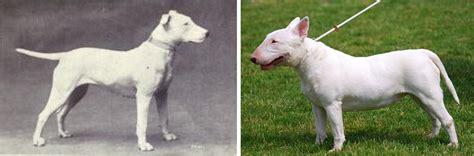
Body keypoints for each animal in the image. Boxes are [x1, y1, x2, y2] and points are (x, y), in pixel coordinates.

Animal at [15, 9, 208, 151]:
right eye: (186, 23)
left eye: (190, 20)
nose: (207, 33)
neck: (158, 51)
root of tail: (66, 55)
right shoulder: (144, 97)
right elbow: (142, 123)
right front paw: (143, 145)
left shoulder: (162, 94)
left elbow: (164, 117)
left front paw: (167, 136)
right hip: (61, 93)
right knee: (43, 114)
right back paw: (37, 140)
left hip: (76, 93)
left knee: (60, 113)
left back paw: (63, 133)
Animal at [252, 17, 460, 152]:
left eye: (274, 41)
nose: (252, 58)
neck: (310, 61)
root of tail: (423, 53)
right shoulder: (317, 106)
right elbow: (320, 129)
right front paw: (317, 146)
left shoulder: (332, 104)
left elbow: (337, 130)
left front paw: (335, 149)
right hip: (419, 97)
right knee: (434, 118)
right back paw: (431, 137)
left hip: (430, 95)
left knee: (447, 119)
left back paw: (453, 145)